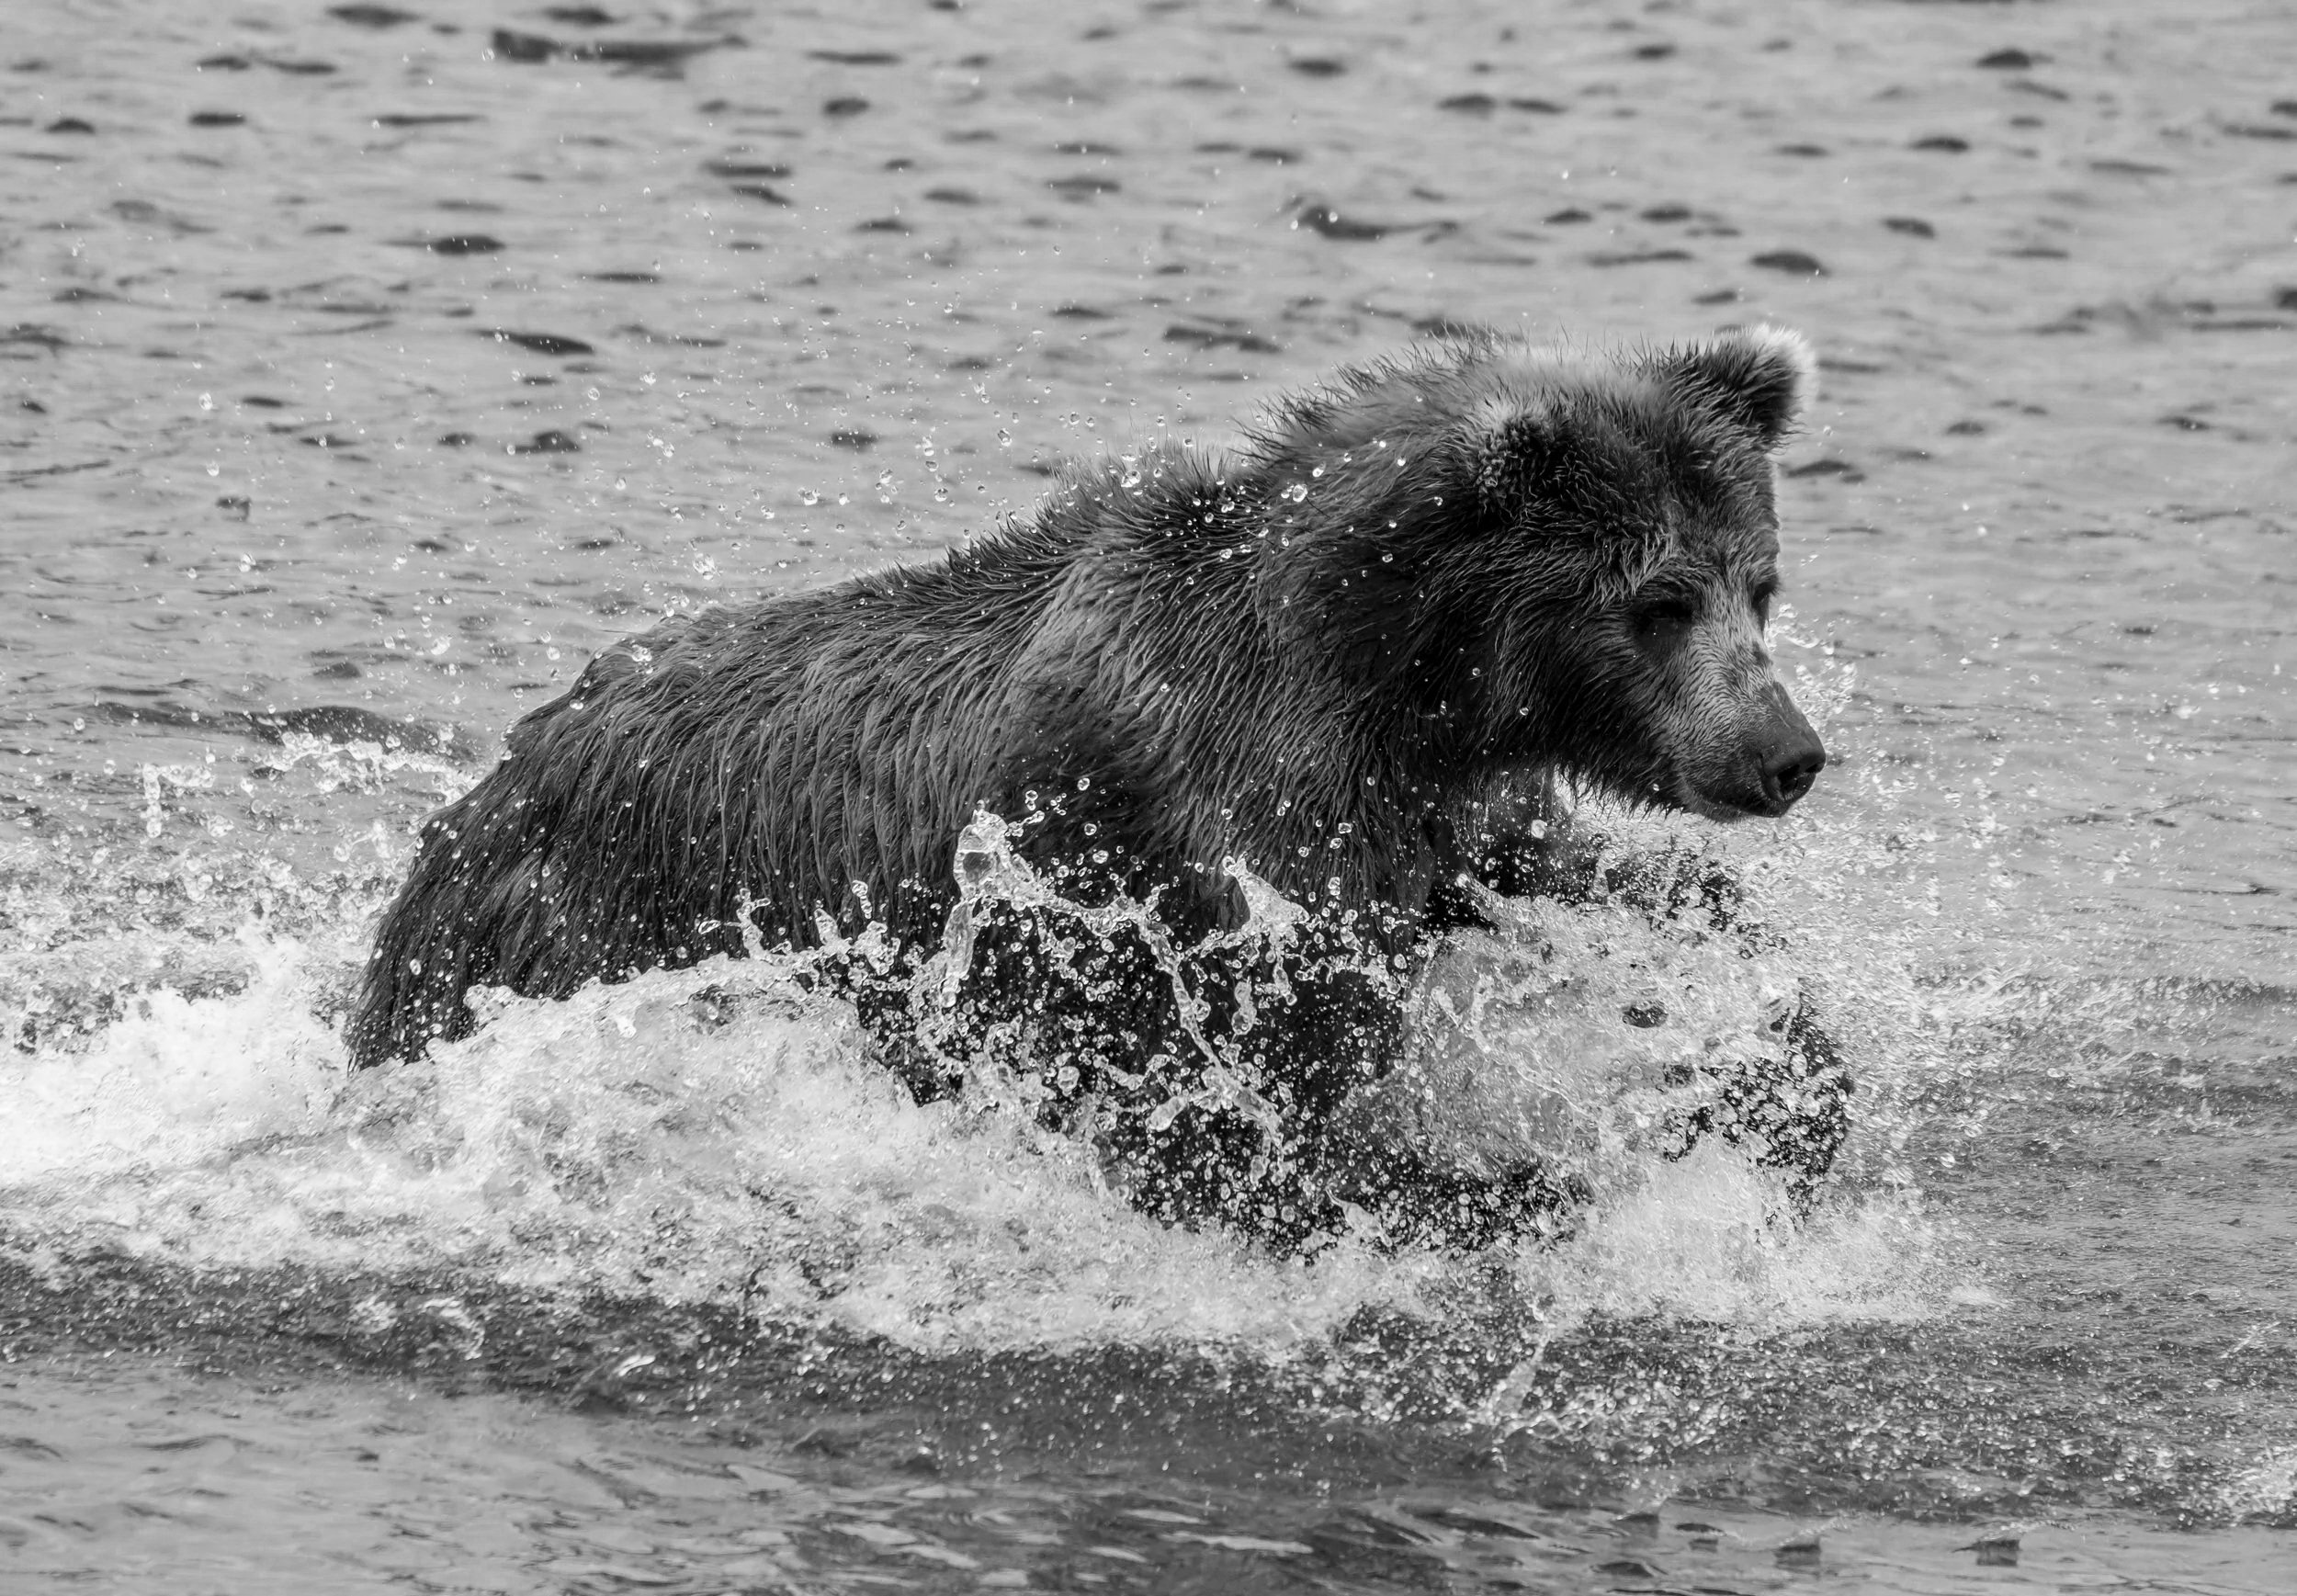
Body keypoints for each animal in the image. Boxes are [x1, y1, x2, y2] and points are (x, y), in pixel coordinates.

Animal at [348, 324, 1844, 1250]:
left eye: (1761, 585)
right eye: (1657, 600)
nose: (1785, 755)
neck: (1380, 678)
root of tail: (491, 783)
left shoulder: (1426, 822)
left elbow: (1595, 891)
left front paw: (1777, 1078)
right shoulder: (1174, 849)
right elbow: (1218, 1109)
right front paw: (1510, 1185)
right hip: (568, 930)